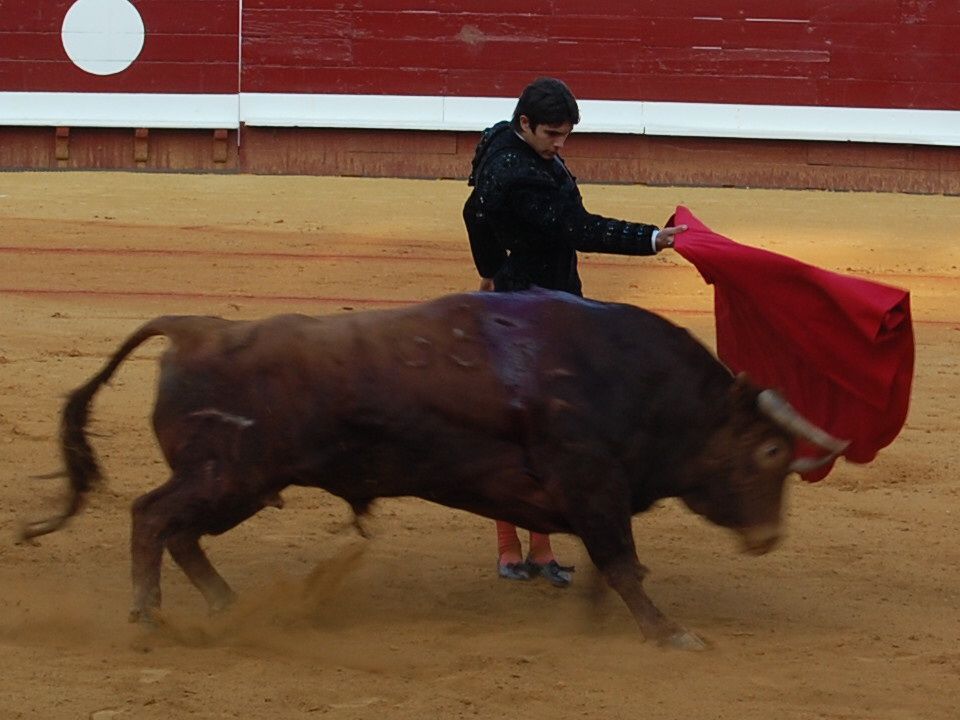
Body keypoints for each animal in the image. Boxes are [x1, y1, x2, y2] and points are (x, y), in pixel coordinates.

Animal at [22, 290, 848, 648]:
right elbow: (623, 564)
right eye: (771, 453)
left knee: (180, 533)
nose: (769, 538)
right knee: (153, 517)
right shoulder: (595, 486)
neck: (643, 386)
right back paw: (146, 616)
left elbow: (609, 565)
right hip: (229, 475)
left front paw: (602, 621)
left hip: (242, 484)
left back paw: (225, 605)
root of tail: (196, 328)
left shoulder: (595, 497)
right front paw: (670, 633)